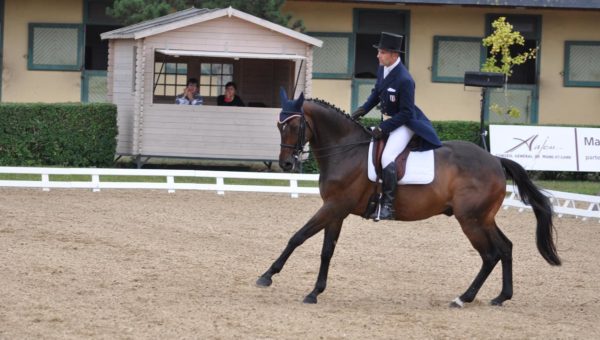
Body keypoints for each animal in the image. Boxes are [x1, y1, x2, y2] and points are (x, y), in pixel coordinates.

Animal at [255, 90, 560, 308]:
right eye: (279, 125)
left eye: (295, 125)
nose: (286, 164)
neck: (345, 150)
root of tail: (496, 160)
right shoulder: (336, 210)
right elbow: (326, 250)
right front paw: (315, 292)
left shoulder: (333, 206)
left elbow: (298, 236)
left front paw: (267, 276)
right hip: (483, 218)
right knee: (505, 248)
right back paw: (500, 297)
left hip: (471, 220)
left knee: (490, 254)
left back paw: (464, 298)